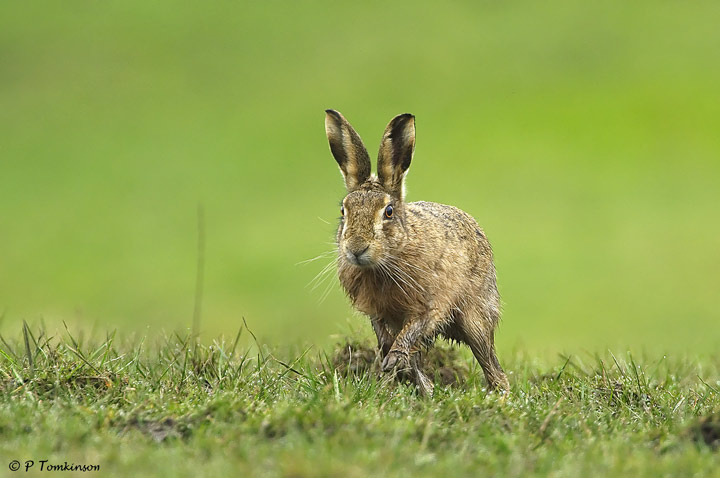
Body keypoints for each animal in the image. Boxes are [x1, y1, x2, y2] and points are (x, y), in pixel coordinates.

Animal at [324, 109, 509, 396]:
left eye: (388, 212)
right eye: (344, 211)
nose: (356, 248)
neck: (389, 258)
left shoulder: (429, 305)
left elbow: (411, 332)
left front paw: (393, 361)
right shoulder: (378, 312)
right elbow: (389, 337)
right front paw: (391, 364)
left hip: (476, 318)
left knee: (488, 359)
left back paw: (498, 394)